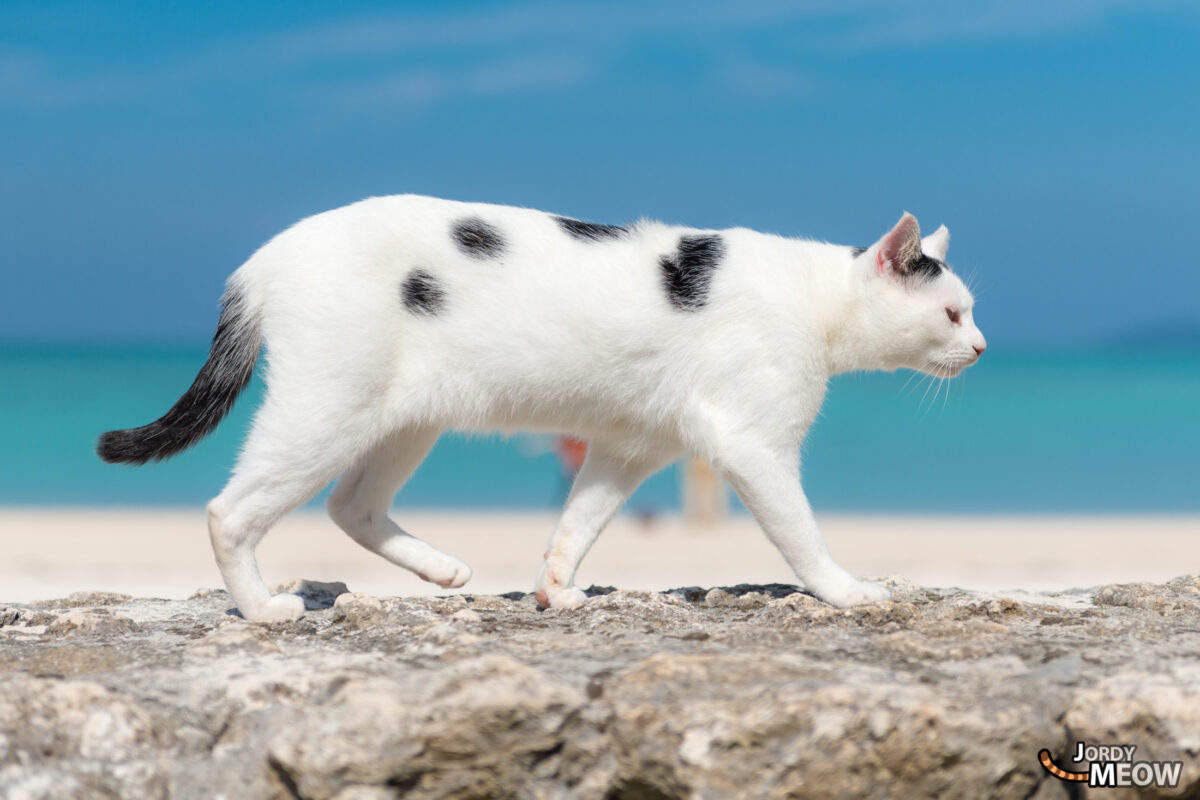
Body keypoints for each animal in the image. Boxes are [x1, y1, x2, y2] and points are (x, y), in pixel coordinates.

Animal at [100, 196, 984, 623]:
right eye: (950, 314)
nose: (979, 348)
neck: (816, 299)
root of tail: (260, 260)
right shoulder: (753, 446)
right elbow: (801, 535)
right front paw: (846, 591)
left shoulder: (628, 448)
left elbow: (578, 523)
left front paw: (556, 589)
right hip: (326, 411)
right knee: (230, 511)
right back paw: (261, 609)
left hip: (401, 419)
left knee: (351, 506)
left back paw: (443, 570)